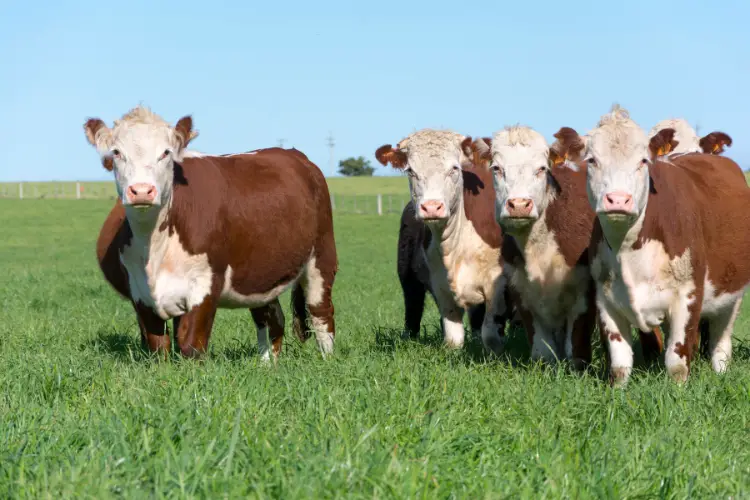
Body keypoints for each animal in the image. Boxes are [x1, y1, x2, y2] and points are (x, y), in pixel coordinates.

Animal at [84, 107, 338, 362]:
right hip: (260, 274)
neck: (154, 246)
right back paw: (267, 364)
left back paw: (327, 360)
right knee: (270, 318)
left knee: (321, 313)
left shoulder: (205, 283)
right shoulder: (140, 293)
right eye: (117, 152)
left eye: (166, 152)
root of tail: (293, 154)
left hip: (322, 256)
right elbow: (158, 348)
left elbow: (191, 344)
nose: (142, 191)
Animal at [374, 131, 512, 354]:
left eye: (454, 168)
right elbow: (453, 338)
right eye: (410, 170)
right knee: (412, 314)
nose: (431, 207)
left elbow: (490, 334)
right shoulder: (440, 287)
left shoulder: (497, 286)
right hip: (408, 279)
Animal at [476, 125, 664, 368]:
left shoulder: (584, 291)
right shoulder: (521, 289)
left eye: (542, 168)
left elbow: (576, 346)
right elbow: (542, 350)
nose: (519, 205)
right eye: (496, 168)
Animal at [556, 104, 750, 386]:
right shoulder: (606, 299)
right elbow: (620, 363)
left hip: (732, 293)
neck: (629, 252)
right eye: (592, 160)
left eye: (643, 161)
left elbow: (676, 362)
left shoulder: (689, 296)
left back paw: (720, 370)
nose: (618, 199)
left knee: (721, 340)